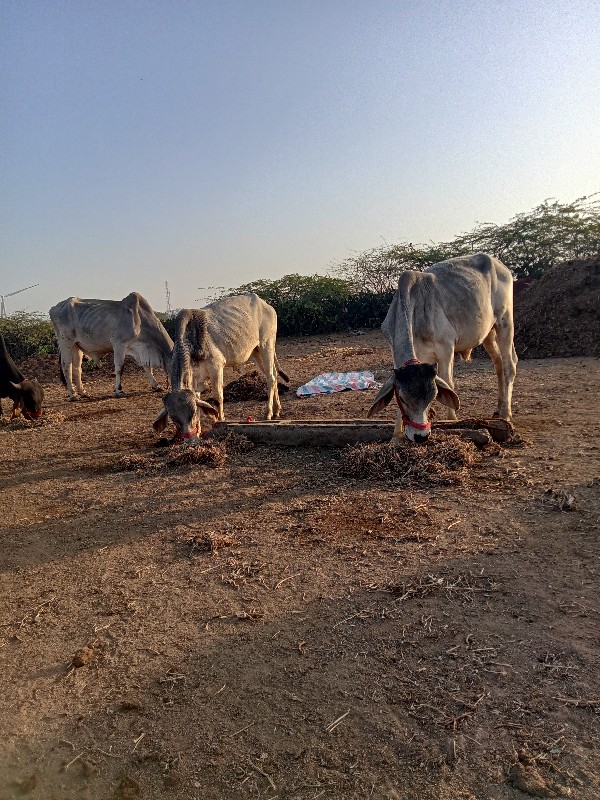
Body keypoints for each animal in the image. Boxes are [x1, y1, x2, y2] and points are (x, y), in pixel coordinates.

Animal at [152, 294, 288, 440]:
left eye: (192, 413)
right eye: (173, 418)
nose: (190, 439)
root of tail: (266, 305)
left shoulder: (216, 367)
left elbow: (217, 398)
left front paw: (220, 421)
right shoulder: (195, 378)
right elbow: (199, 399)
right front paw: (199, 431)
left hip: (266, 345)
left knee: (271, 378)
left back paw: (268, 412)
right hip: (256, 352)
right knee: (274, 375)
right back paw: (277, 409)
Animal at [368, 255, 516, 444]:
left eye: (433, 397)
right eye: (402, 399)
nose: (421, 436)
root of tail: (499, 264)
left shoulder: (446, 349)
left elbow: (448, 382)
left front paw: (452, 421)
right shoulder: (396, 354)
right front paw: (396, 434)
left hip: (505, 321)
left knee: (509, 365)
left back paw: (506, 413)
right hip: (488, 333)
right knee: (498, 364)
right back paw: (498, 408)